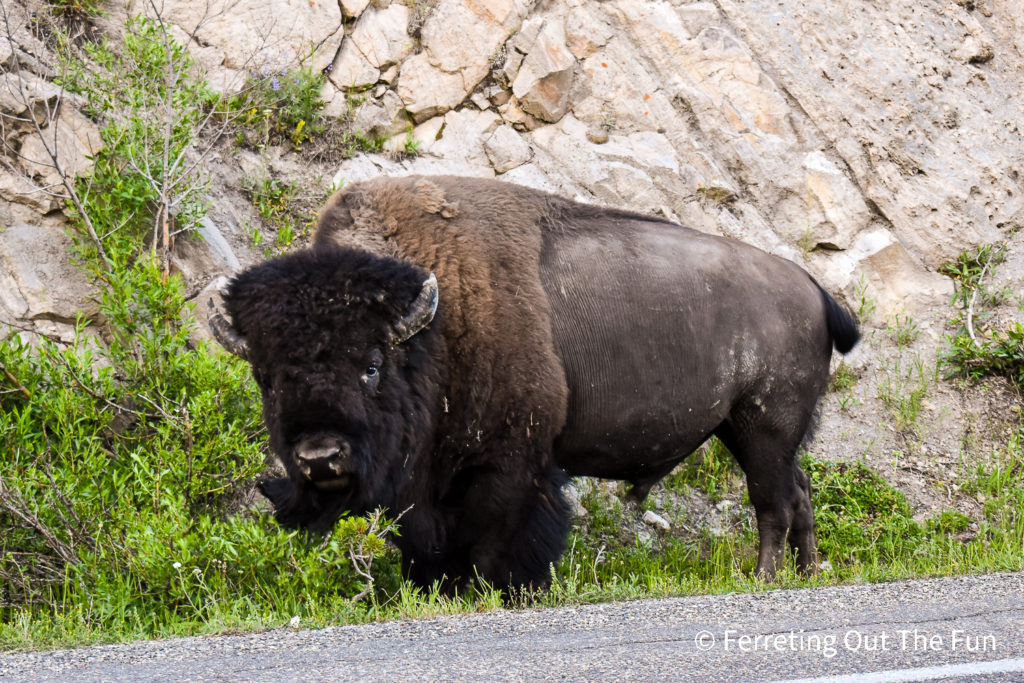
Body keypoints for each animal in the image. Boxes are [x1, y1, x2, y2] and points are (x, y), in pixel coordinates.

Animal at [211, 176, 860, 593]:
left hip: (762, 428)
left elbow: (499, 537)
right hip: (753, 432)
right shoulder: (428, 485)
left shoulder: (511, 465)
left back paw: (764, 578)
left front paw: (498, 590)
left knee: (773, 502)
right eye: (267, 378)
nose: (321, 457)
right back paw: (807, 574)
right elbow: (425, 543)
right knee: (798, 493)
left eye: (371, 365)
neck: (436, 323)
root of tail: (810, 285)